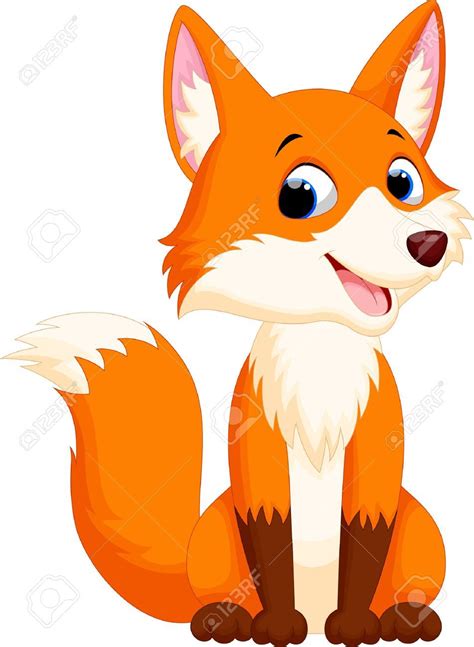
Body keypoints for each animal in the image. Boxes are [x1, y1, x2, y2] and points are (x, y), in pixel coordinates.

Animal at [7, 1, 471, 646]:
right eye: (301, 193)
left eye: (404, 181)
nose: (427, 243)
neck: (319, 356)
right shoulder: (257, 459)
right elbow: (270, 542)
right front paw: (278, 625)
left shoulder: (378, 458)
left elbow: (364, 542)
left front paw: (356, 624)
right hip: (214, 536)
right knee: (222, 590)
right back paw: (229, 618)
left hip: (424, 531)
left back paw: (403, 616)